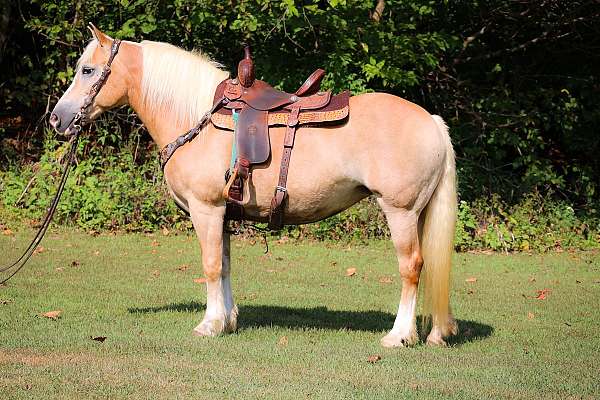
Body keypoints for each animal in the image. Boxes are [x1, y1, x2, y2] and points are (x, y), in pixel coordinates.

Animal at [50, 26, 460, 346]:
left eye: (87, 69)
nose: (57, 119)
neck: (197, 119)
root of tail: (431, 121)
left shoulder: (206, 209)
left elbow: (211, 265)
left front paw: (209, 324)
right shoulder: (223, 213)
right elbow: (225, 265)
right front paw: (227, 320)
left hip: (401, 211)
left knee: (411, 266)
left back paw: (399, 335)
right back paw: (435, 333)